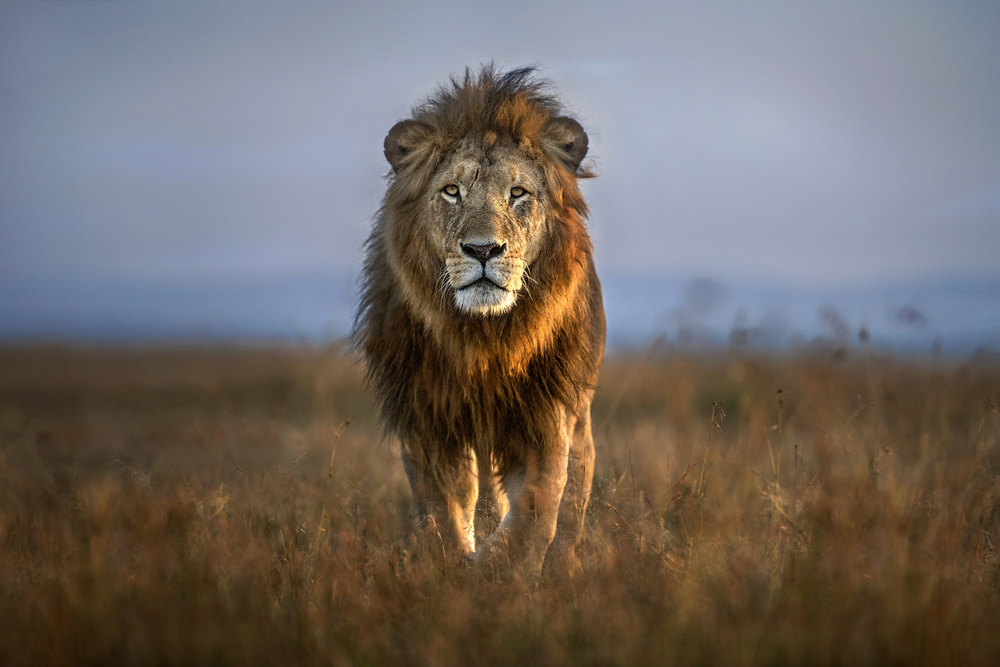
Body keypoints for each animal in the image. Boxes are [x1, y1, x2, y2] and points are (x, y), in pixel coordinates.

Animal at [356, 66, 604, 576]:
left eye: (518, 193)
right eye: (452, 191)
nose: (483, 249)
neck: (484, 337)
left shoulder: (546, 414)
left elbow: (536, 508)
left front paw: (499, 571)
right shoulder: (427, 418)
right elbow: (443, 509)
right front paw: (454, 567)